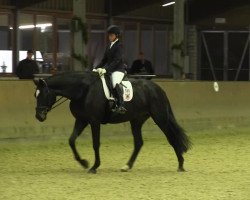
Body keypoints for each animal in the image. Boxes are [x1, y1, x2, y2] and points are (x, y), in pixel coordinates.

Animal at [33, 71, 191, 173]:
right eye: (35, 95)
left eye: (43, 94)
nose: (39, 116)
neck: (83, 90)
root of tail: (158, 89)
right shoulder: (81, 120)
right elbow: (71, 140)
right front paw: (84, 163)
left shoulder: (94, 121)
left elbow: (95, 144)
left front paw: (94, 167)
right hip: (136, 120)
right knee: (139, 143)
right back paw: (127, 166)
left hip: (160, 118)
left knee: (171, 137)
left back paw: (181, 165)